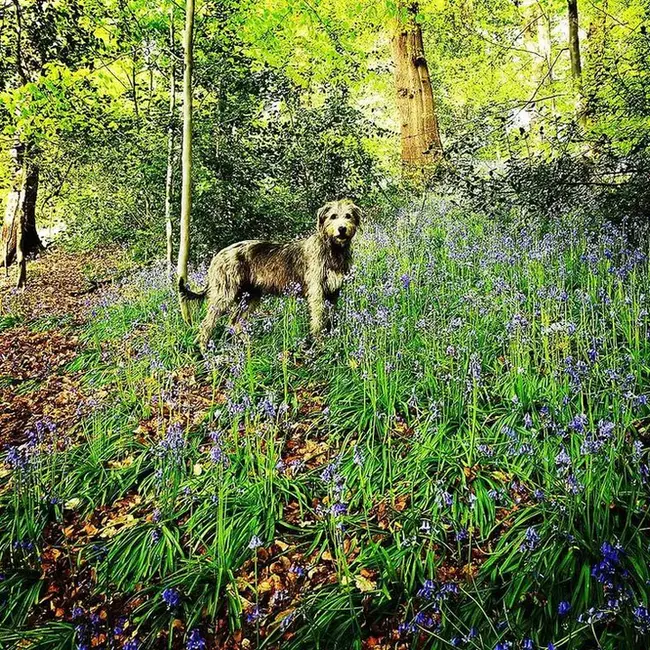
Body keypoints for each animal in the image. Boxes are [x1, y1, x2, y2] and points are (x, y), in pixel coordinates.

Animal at [177, 199, 360, 346]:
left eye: (348, 216)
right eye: (333, 216)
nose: (342, 229)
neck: (333, 249)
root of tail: (217, 256)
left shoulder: (333, 292)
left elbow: (330, 317)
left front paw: (331, 339)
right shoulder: (317, 292)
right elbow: (318, 320)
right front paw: (319, 343)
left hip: (250, 296)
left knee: (235, 322)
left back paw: (249, 347)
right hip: (225, 294)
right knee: (208, 323)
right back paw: (203, 348)